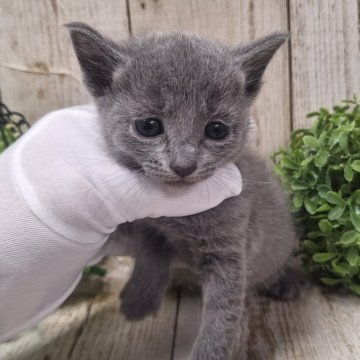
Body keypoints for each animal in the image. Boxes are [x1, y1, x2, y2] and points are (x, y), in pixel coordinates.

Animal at [69, 23, 300, 360]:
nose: (183, 164)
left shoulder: (230, 251)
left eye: (216, 129)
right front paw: (139, 298)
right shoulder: (147, 225)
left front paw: (208, 352)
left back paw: (287, 283)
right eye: (149, 126)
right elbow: (150, 254)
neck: (180, 217)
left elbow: (222, 317)